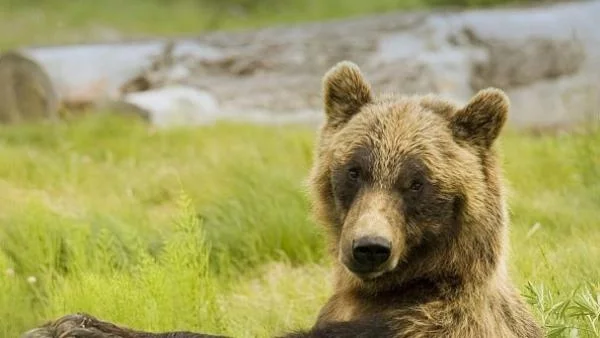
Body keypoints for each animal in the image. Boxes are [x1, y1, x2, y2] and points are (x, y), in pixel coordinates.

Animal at [21, 60, 540, 338]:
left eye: (417, 182)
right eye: (354, 170)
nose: (369, 248)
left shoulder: (422, 322)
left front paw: (67, 325)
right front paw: (72, 319)